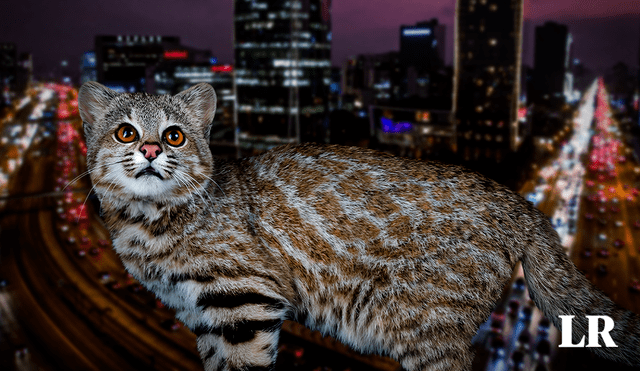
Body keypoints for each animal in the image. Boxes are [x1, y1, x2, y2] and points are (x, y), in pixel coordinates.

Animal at [76, 82, 640, 371]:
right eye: (125, 132)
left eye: (174, 136)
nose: (151, 150)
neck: (149, 221)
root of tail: (519, 201)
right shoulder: (208, 320)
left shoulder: (244, 304)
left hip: (425, 326)